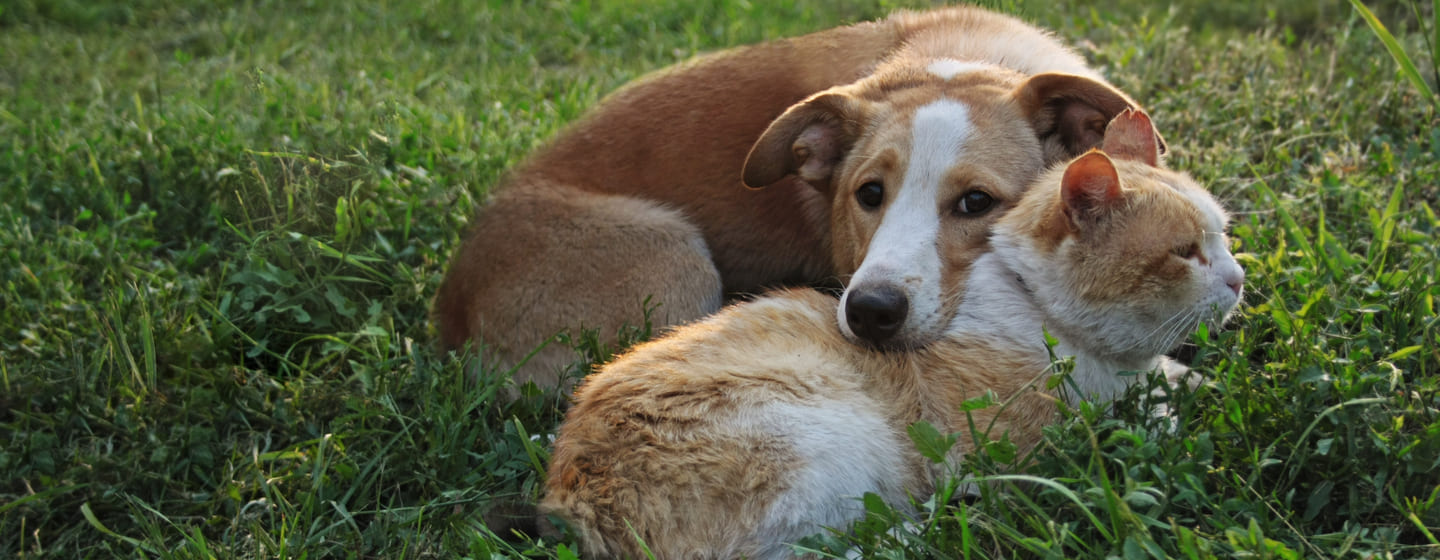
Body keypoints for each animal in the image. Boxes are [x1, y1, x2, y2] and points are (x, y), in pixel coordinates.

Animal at [432, 5, 1163, 388]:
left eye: (977, 203)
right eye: (868, 193)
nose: (869, 313)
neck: (956, 65)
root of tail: (450, 309)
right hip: (672, 258)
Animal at [535, 109, 1244, 558]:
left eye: (1223, 236)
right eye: (1185, 253)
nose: (1238, 279)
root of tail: (574, 500)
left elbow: (1175, 382)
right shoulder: (1023, 441)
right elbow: (1150, 420)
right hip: (833, 437)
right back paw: (938, 522)